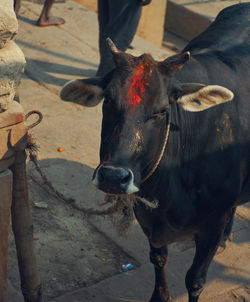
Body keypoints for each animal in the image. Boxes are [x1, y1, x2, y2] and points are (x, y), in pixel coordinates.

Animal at [61, 3, 250, 300]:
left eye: (162, 110)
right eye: (108, 101)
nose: (113, 177)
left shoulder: (211, 227)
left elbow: (195, 280)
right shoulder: (149, 220)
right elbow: (159, 261)